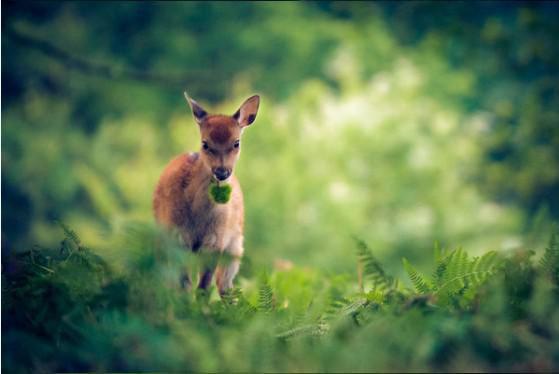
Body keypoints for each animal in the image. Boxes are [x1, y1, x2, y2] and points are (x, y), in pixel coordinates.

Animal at [151, 93, 260, 296]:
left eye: (236, 143)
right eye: (205, 143)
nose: (222, 172)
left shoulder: (217, 239)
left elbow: (204, 285)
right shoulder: (178, 236)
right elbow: (184, 284)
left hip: (235, 247)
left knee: (224, 285)